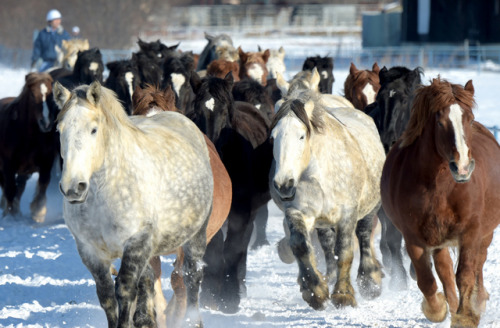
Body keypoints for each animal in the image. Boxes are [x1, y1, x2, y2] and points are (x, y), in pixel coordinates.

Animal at [54, 80, 213, 328]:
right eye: (59, 130)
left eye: (93, 129)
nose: (73, 187)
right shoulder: (90, 251)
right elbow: (107, 296)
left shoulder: (137, 241)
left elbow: (125, 290)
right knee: (148, 279)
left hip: (195, 235)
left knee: (192, 277)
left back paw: (192, 321)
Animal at [272, 77, 384, 310]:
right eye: (273, 137)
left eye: (301, 136)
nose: (283, 184)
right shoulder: (297, 211)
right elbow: (301, 246)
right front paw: (315, 291)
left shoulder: (347, 213)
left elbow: (345, 251)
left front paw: (343, 294)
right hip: (322, 220)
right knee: (326, 243)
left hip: (370, 207)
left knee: (364, 235)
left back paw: (369, 280)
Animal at [382, 77, 500, 328]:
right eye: (439, 121)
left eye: (469, 119)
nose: (463, 167)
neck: (440, 187)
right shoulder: (414, 237)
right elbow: (427, 280)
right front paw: (438, 309)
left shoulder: (471, 232)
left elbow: (465, 274)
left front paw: (466, 316)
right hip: (438, 239)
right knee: (444, 270)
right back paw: (453, 304)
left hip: (484, 234)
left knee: (479, 263)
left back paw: (477, 300)